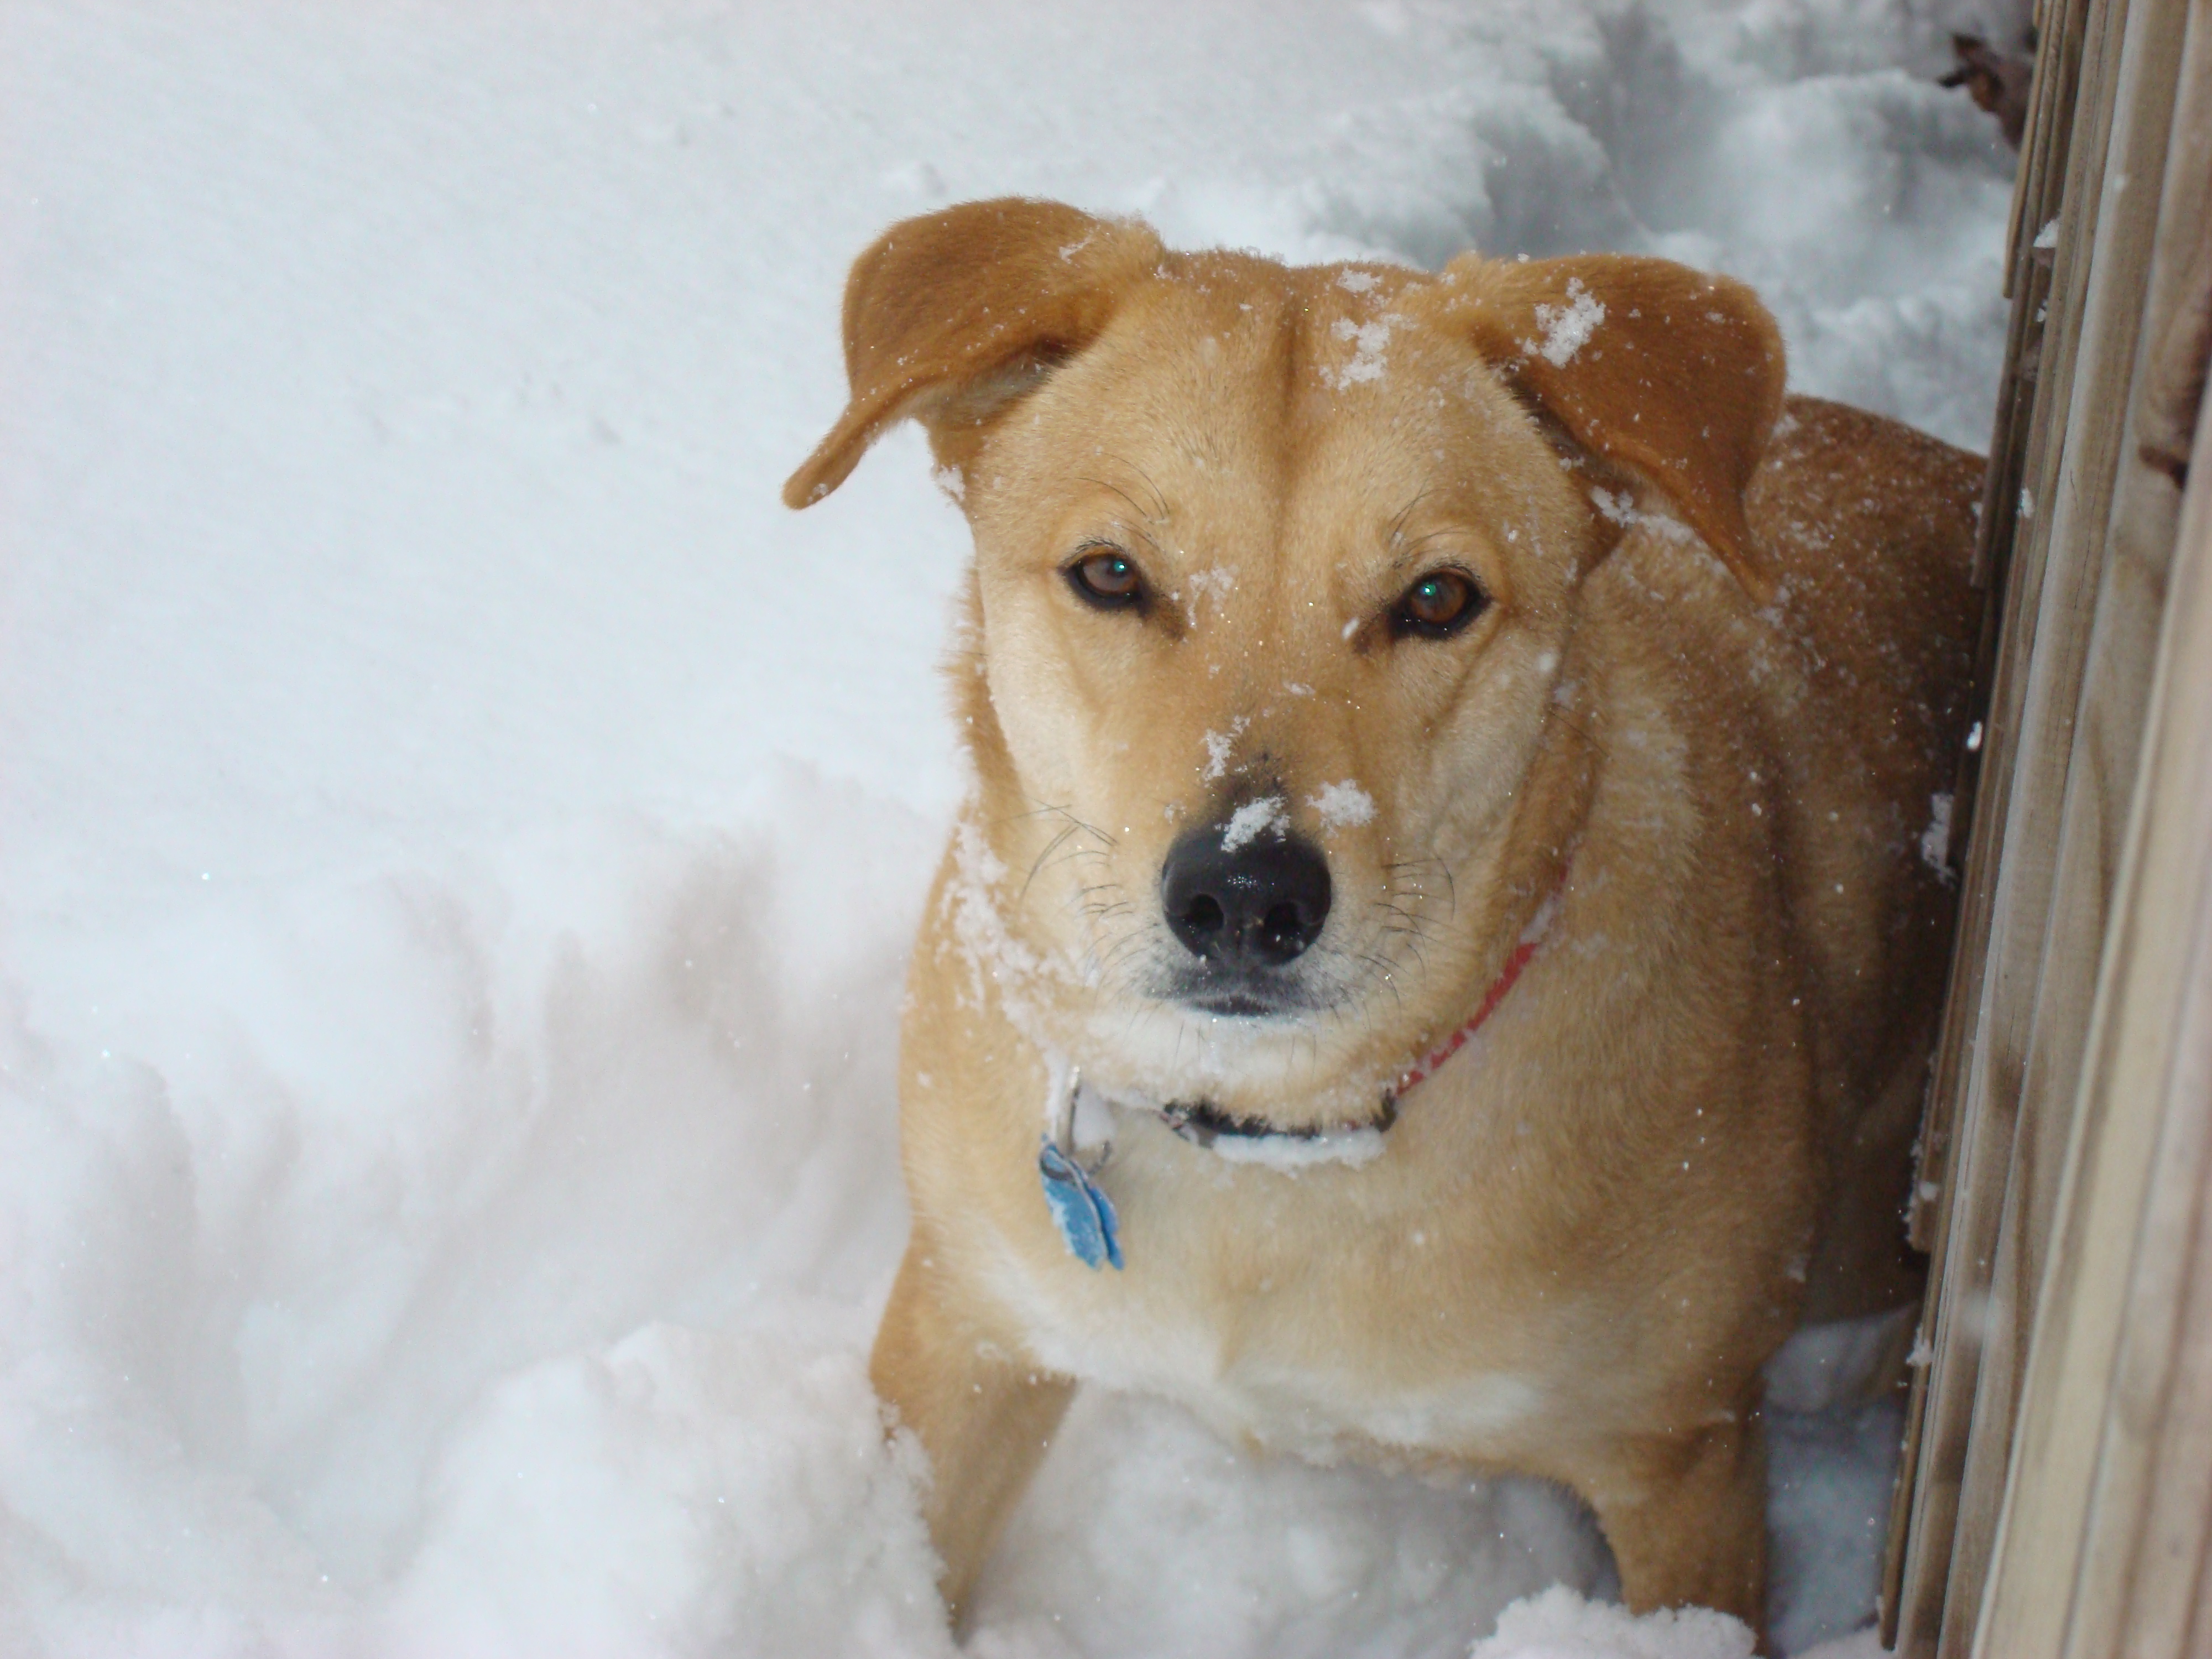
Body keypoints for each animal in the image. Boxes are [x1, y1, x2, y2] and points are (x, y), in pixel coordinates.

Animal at [787, 198, 1982, 1637]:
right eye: (1111, 574)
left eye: (1435, 598)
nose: (1244, 896)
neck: (1273, 1139)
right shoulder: (961, 1326)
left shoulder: (1682, 1463)